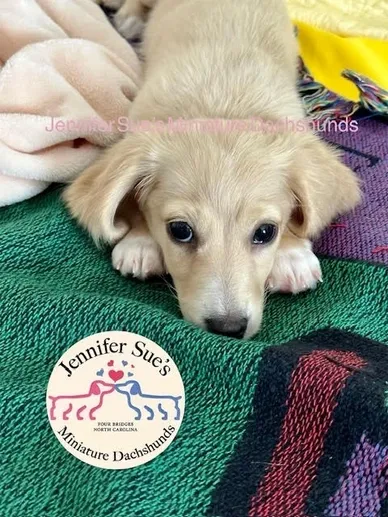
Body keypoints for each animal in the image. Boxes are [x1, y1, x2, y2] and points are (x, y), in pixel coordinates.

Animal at [65, 0, 360, 338]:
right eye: (180, 230)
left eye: (265, 232)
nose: (228, 328)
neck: (221, 102)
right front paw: (140, 240)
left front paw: (291, 253)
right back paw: (130, 17)